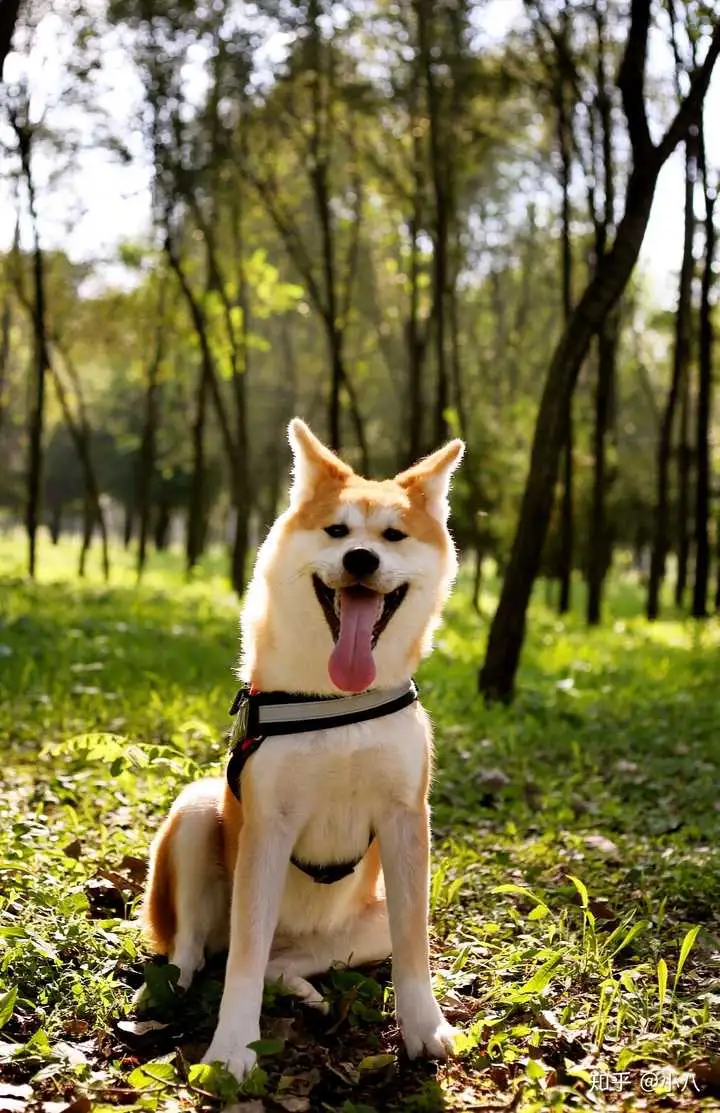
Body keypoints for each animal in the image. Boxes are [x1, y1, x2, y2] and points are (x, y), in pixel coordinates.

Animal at [140, 418, 465, 1077]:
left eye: (392, 535)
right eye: (336, 531)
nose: (361, 557)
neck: (337, 698)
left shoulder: (406, 820)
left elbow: (414, 948)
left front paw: (424, 1027)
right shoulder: (268, 826)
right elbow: (240, 963)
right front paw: (232, 1048)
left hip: (367, 922)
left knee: (280, 962)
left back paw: (303, 991)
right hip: (197, 812)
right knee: (199, 950)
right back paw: (167, 991)